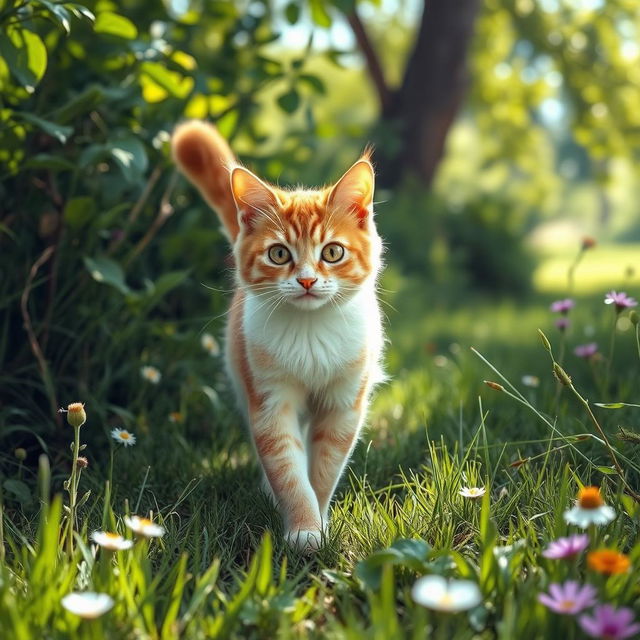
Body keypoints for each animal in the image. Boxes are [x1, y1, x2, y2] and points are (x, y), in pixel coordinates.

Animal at [171, 121, 384, 552]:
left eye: (332, 252)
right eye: (280, 254)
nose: (306, 280)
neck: (311, 332)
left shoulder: (343, 404)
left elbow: (324, 469)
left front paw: (319, 520)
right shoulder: (269, 400)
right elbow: (287, 468)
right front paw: (303, 527)